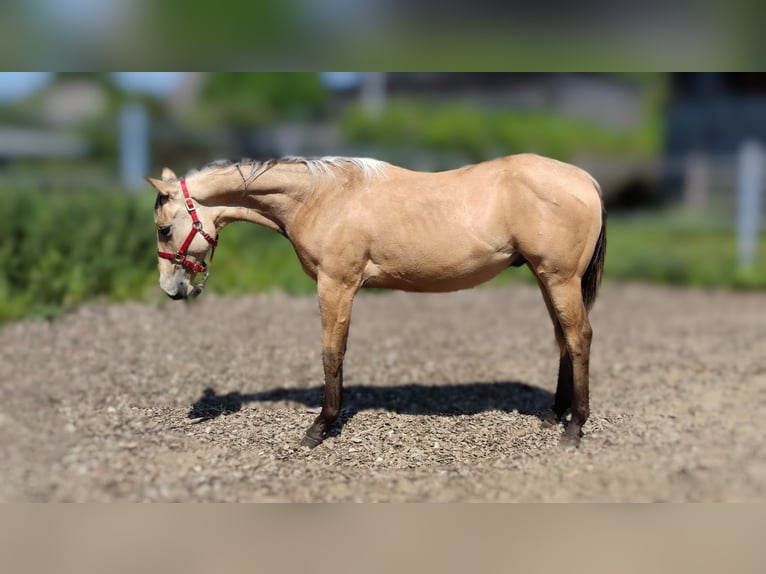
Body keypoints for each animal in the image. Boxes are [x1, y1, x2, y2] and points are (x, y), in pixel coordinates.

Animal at [148, 155, 608, 452]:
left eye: (165, 229)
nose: (170, 288)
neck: (322, 197)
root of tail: (586, 179)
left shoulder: (336, 285)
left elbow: (332, 353)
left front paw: (319, 428)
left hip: (559, 278)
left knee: (579, 338)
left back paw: (574, 429)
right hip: (547, 277)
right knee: (564, 339)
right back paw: (555, 415)